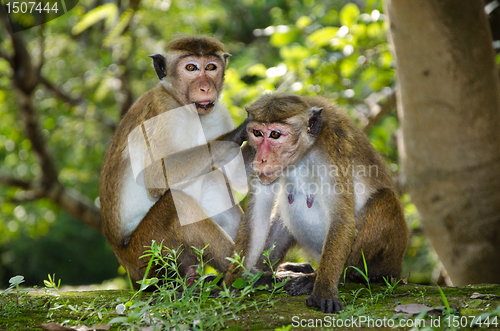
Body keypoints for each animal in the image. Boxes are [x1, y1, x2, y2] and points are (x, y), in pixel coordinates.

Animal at [225, 92, 408, 314]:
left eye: (275, 135)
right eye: (257, 133)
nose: (261, 159)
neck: (304, 153)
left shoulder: (331, 151)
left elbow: (341, 219)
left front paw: (323, 291)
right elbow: (257, 218)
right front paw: (230, 284)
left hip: (390, 257)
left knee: (385, 198)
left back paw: (332, 276)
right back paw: (268, 275)